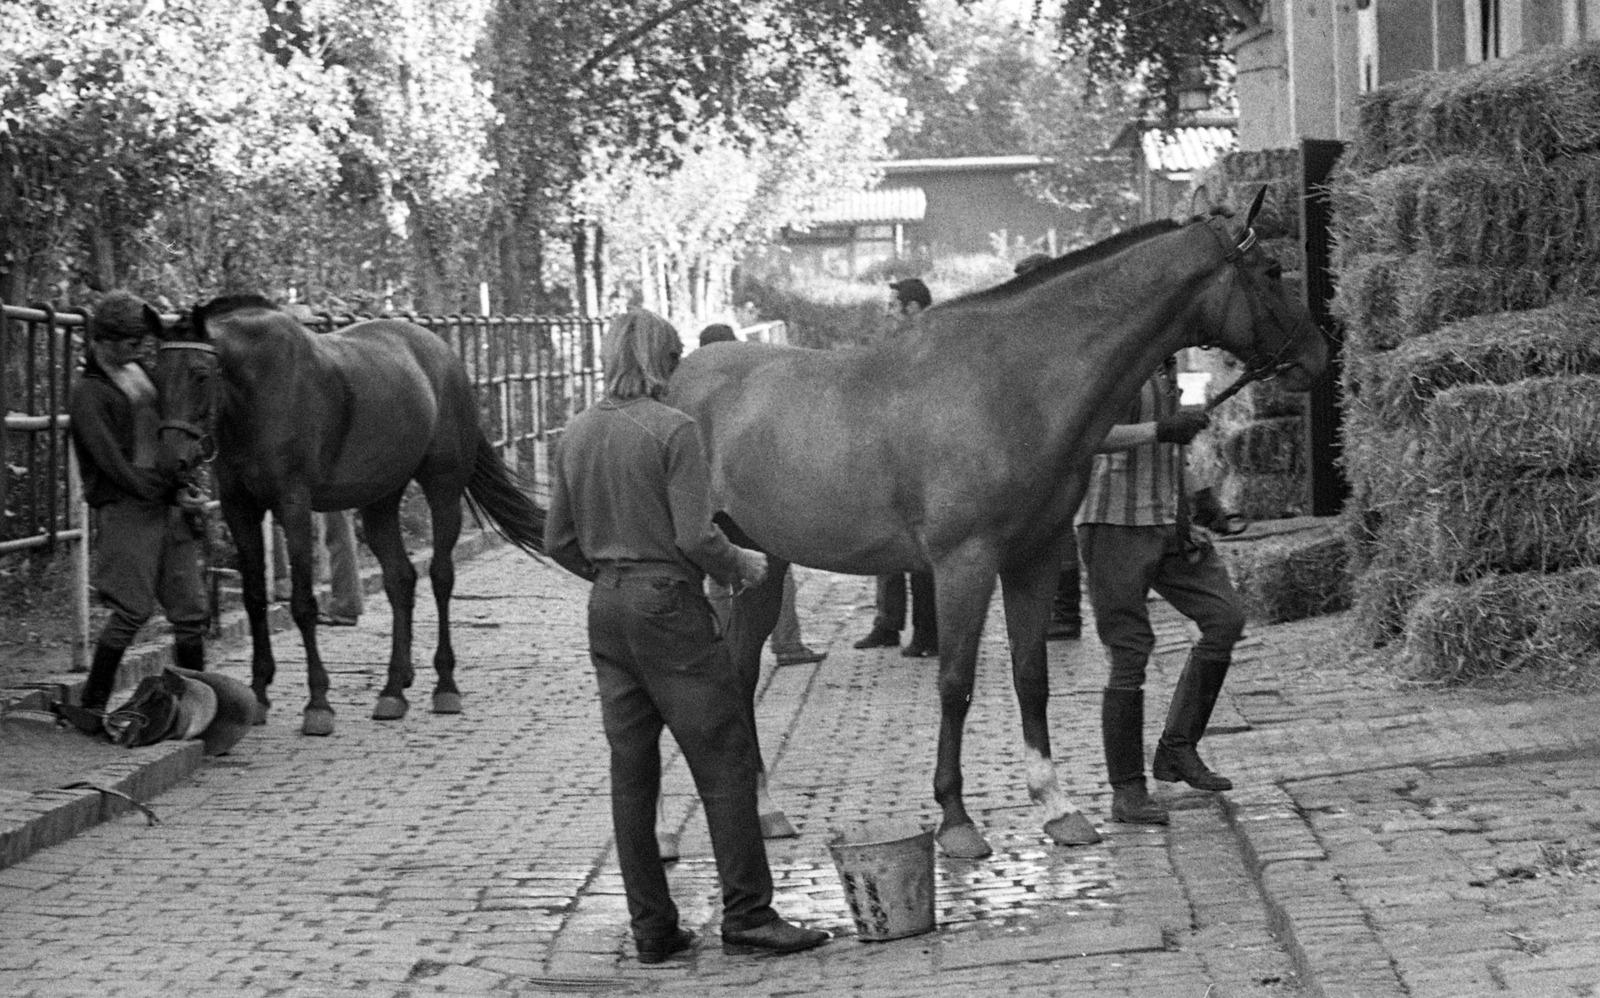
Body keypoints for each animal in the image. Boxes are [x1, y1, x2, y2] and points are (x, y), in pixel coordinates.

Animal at [152, 292, 547, 735]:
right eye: (156, 374)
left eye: (201, 374)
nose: (172, 460)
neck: (260, 391)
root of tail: (446, 358)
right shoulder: (241, 509)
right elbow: (255, 600)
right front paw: (258, 695)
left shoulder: (293, 504)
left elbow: (303, 604)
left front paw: (318, 703)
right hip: (381, 499)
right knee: (400, 579)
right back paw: (393, 689)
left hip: (443, 490)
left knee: (441, 577)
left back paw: (445, 685)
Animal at [668, 191, 1331, 863]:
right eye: (1271, 270)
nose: (1318, 355)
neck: (1012, 381)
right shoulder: (965, 563)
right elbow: (955, 683)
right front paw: (956, 820)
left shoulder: (1032, 557)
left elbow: (1031, 676)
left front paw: (1059, 808)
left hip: (761, 561)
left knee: (741, 673)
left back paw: (765, 810)